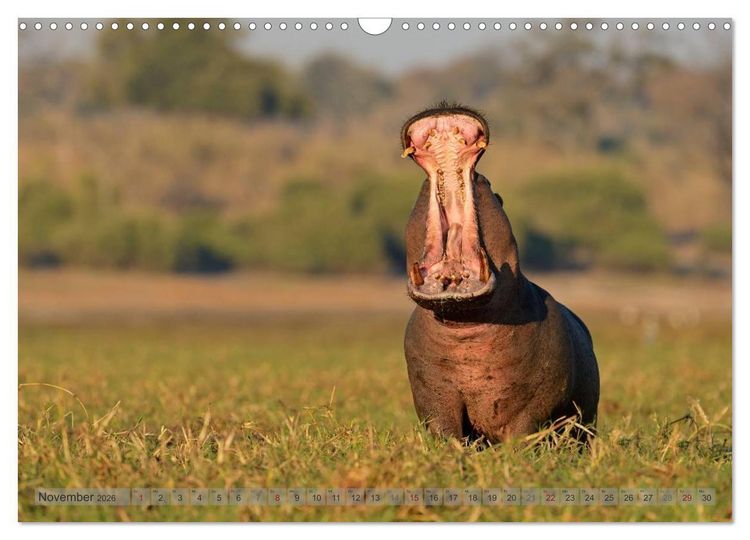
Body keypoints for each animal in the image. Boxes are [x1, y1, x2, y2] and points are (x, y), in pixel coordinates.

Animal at [401, 102, 599, 443]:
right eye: (423, 187)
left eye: (490, 185)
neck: (464, 326)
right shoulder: (433, 396)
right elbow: (445, 431)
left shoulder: (531, 406)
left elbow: (521, 432)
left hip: (586, 424)